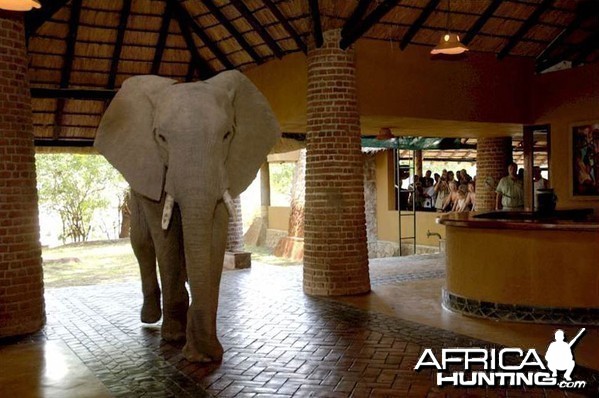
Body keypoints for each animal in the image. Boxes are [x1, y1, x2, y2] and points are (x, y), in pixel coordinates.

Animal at [94, 70, 282, 362]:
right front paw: (175, 337)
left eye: (227, 134)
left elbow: (215, 228)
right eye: (160, 137)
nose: (201, 353)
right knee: (142, 240)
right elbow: (164, 233)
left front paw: (203, 350)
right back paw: (151, 318)